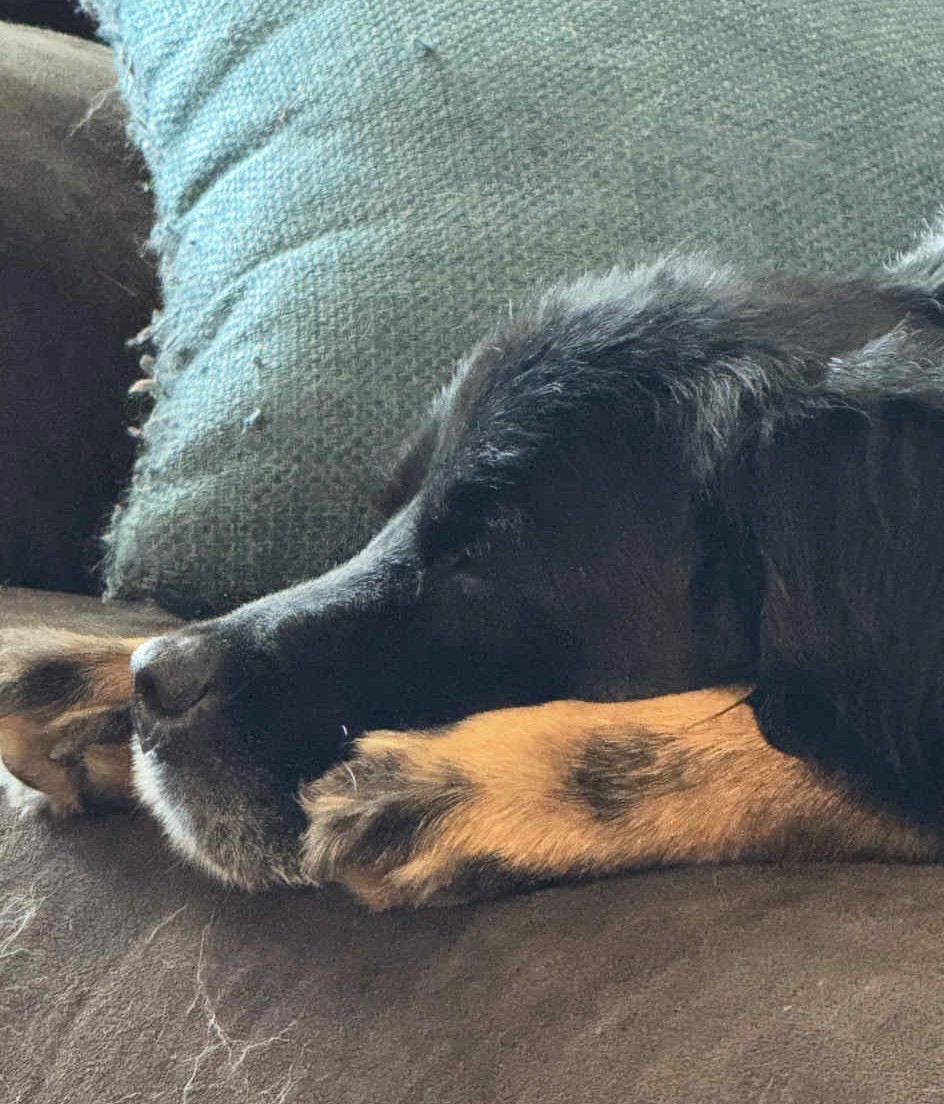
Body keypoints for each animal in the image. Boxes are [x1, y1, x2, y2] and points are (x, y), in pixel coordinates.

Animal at [3, 224, 944, 908]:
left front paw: (471, 780)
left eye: (482, 557)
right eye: (388, 510)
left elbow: (811, 740)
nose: (154, 684)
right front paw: (79, 683)